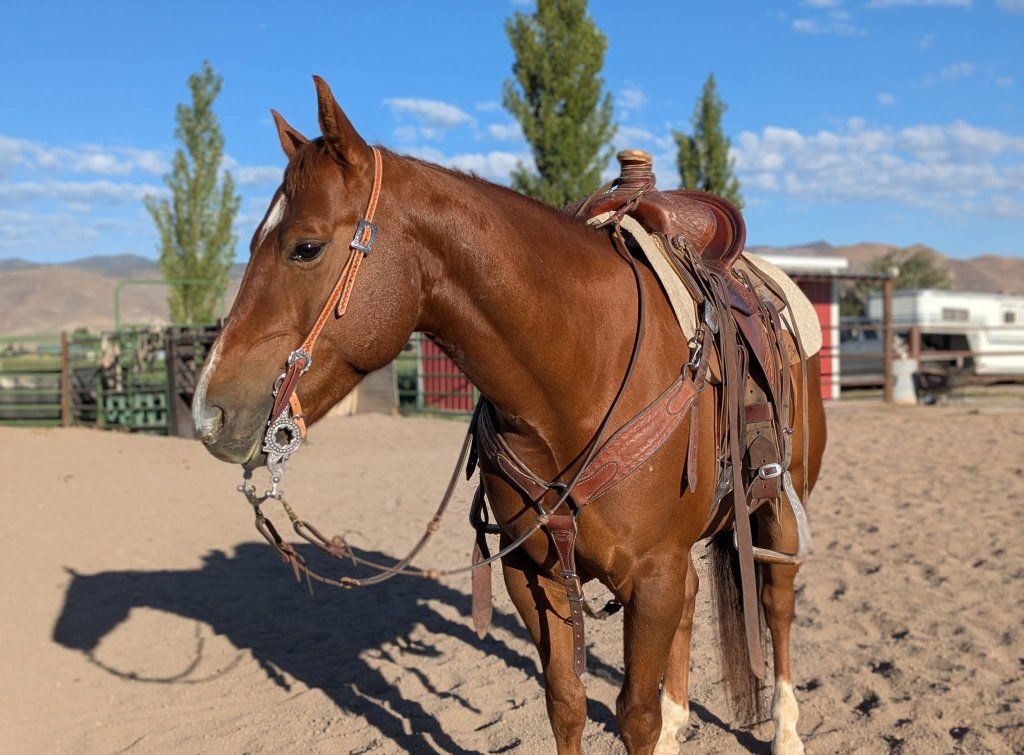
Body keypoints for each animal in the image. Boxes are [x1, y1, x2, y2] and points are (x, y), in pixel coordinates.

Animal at [193, 76, 826, 754]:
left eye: (305, 247)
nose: (207, 414)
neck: (580, 374)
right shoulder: (532, 572)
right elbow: (567, 703)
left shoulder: (652, 572)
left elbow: (634, 716)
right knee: (692, 603)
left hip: (778, 504)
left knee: (777, 601)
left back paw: (787, 731)